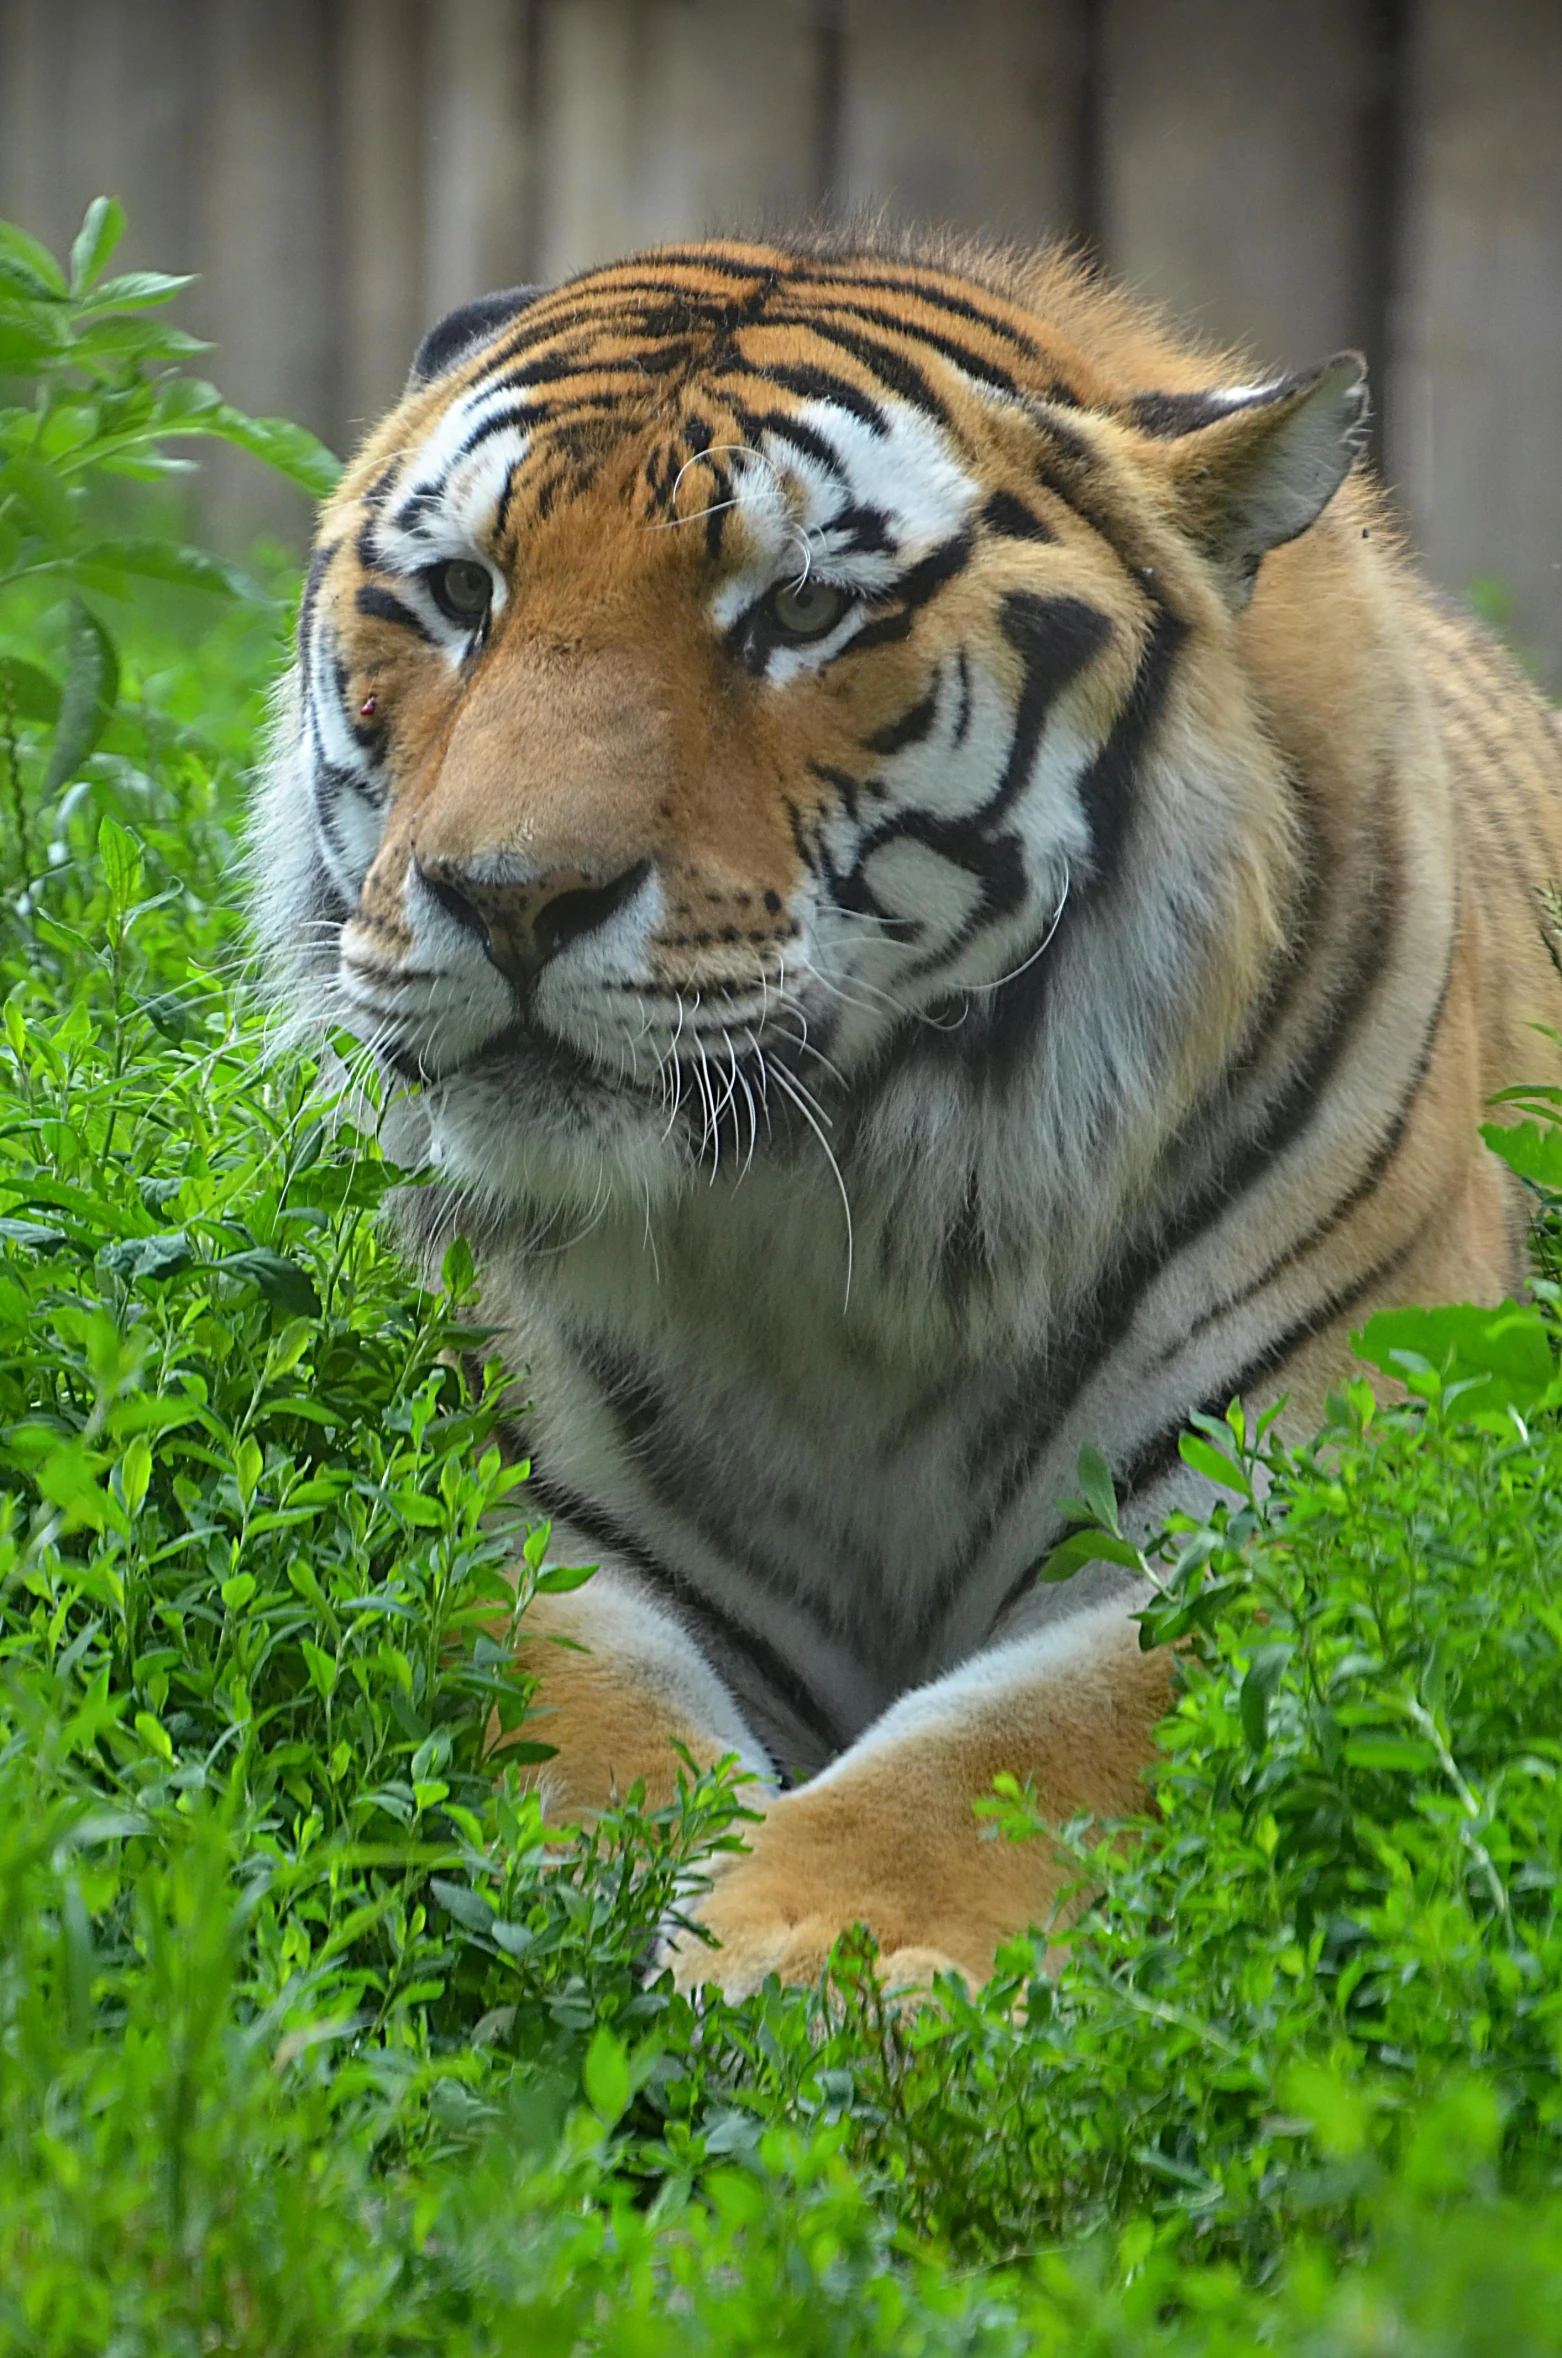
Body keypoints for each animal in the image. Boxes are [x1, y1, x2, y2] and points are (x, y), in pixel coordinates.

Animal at [251, 221, 1562, 1999]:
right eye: (462, 593)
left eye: (800, 610)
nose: (508, 896)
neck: (843, 1224)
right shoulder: (513, 1504)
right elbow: (572, 1718)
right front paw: (609, 1888)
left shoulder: (1291, 1512)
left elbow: (1018, 1744)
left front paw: (809, 1945)